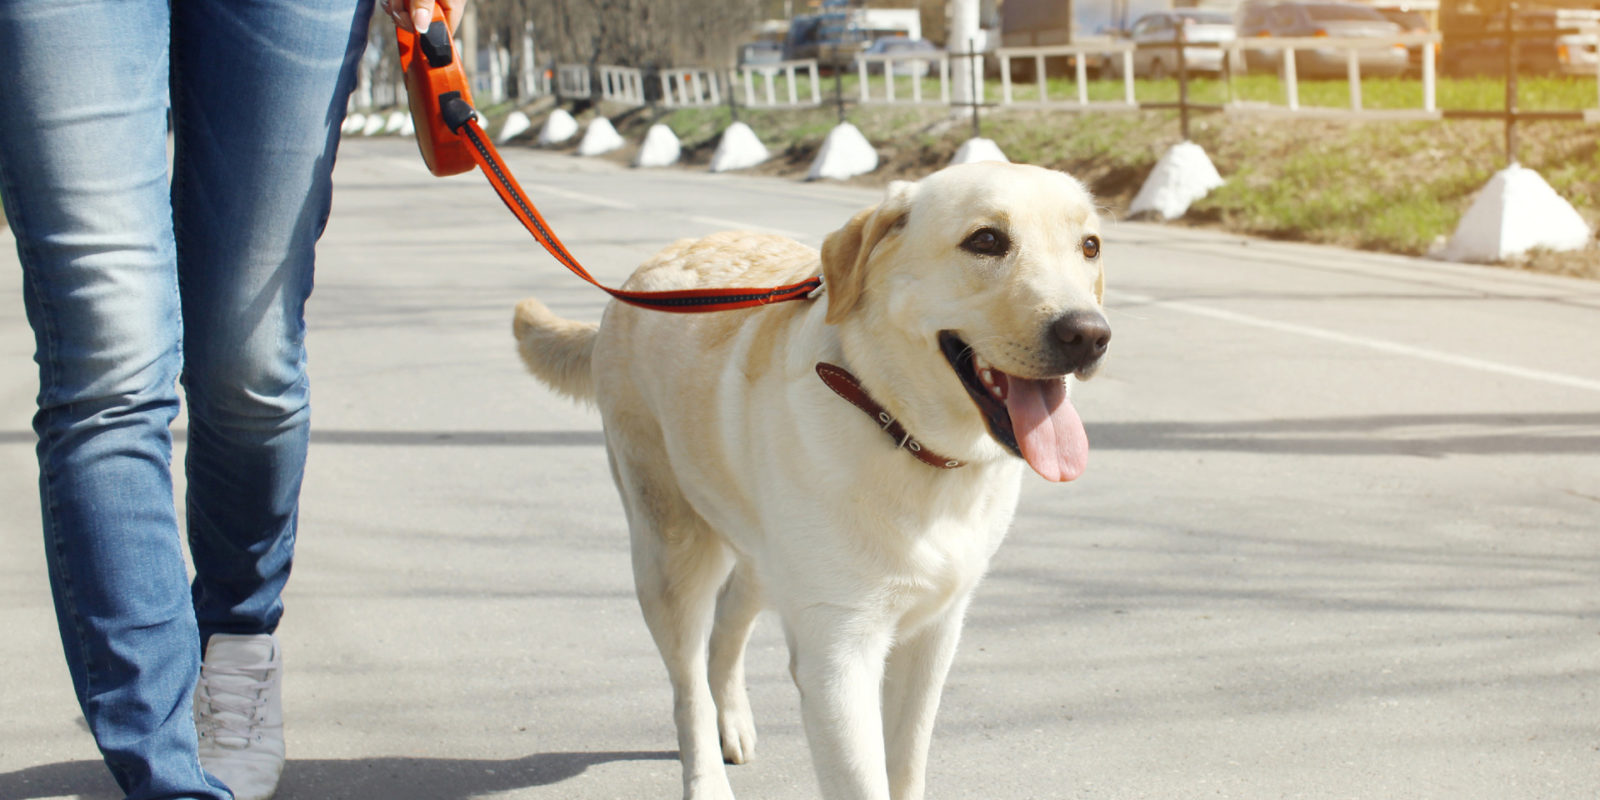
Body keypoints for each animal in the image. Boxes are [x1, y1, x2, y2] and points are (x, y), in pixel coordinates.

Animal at [515, 159, 1113, 796]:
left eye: (1090, 246)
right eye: (986, 241)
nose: (1088, 334)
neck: (900, 431)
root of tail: (642, 273)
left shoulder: (934, 635)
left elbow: (907, 767)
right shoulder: (838, 655)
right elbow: (865, 779)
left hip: (762, 551)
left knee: (728, 622)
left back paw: (733, 720)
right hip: (669, 550)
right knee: (687, 685)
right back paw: (706, 774)